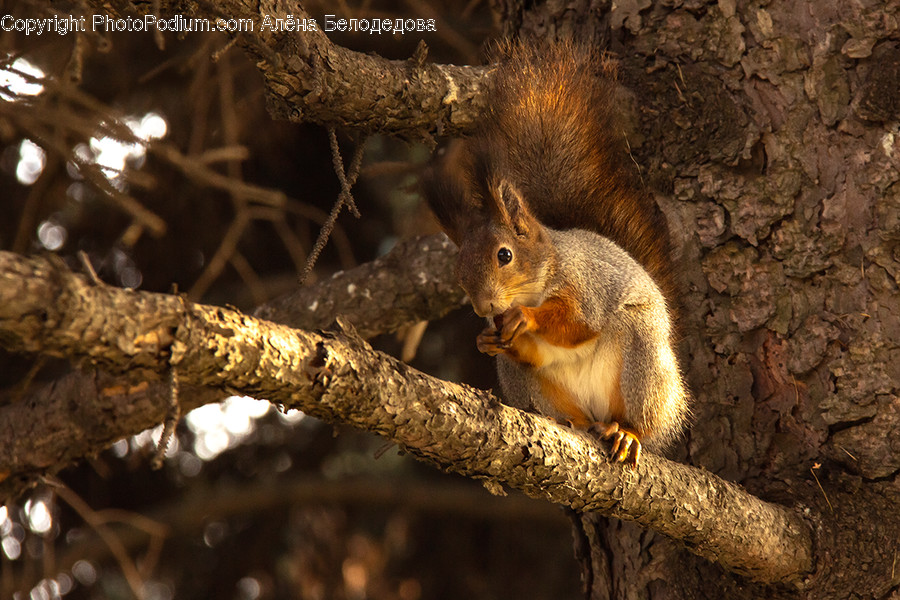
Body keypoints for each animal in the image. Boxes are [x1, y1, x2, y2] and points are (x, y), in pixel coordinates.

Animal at [422, 41, 689, 464]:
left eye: (504, 255)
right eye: (458, 273)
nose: (485, 308)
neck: (543, 275)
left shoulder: (586, 285)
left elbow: (577, 323)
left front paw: (527, 318)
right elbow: (534, 353)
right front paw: (485, 340)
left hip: (642, 357)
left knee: (643, 420)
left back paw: (627, 432)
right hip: (530, 386)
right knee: (567, 408)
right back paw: (573, 422)